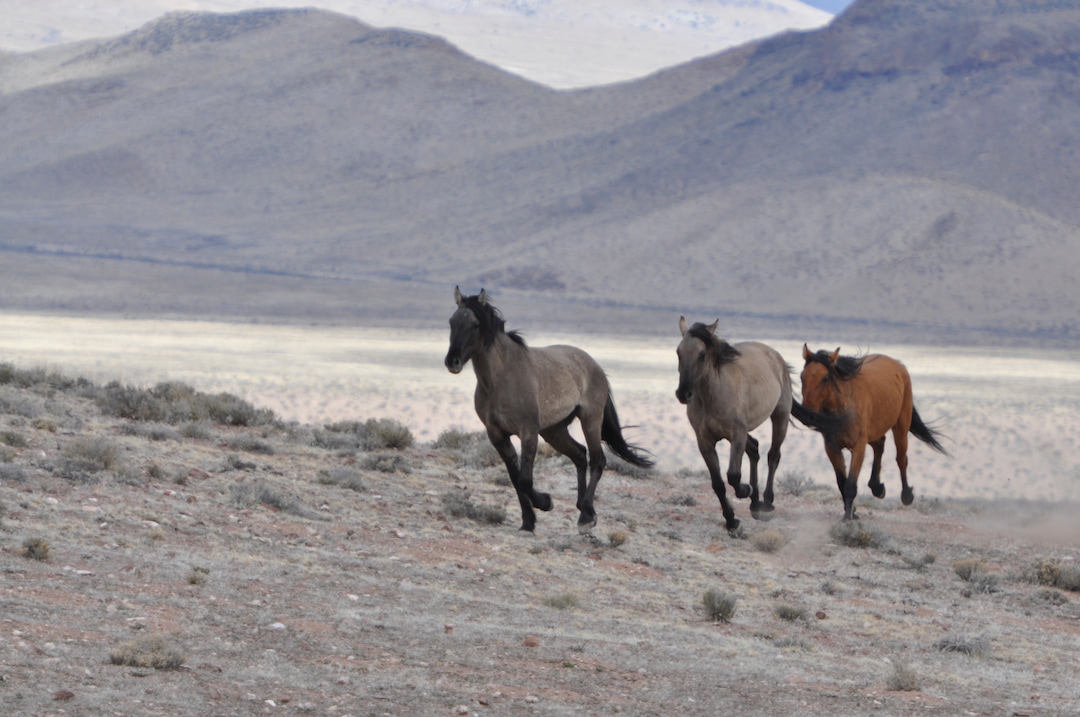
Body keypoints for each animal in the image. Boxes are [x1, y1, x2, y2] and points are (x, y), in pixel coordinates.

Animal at [445, 287, 654, 533]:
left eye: (475, 324)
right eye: (452, 322)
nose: (452, 361)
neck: (501, 378)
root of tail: (594, 365)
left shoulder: (528, 432)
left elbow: (525, 479)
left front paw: (545, 502)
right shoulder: (497, 434)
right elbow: (515, 477)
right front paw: (528, 521)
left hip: (590, 420)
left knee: (597, 460)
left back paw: (587, 515)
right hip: (554, 431)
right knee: (580, 455)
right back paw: (582, 508)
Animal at [676, 317, 845, 535]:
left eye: (702, 354)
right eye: (678, 352)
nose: (683, 393)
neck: (712, 396)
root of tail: (776, 356)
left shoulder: (737, 435)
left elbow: (733, 475)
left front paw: (744, 490)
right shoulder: (704, 441)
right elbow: (718, 484)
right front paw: (732, 521)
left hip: (779, 417)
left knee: (773, 456)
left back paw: (766, 505)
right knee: (754, 448)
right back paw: (755, 504)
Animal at [800, 345, 947, 521]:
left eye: (825, 378)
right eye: (802, 377)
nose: (806, 414)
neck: (844, 407)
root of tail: (899, 366)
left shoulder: (859, 446)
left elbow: (850, 485)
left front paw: (848, 519)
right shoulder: (832, 447)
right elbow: (842, 482)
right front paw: (852, 512)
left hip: (900, 427)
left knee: (901, 458)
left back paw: (906, 496)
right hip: (875, 430)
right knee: (880, 446)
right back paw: (877, 487)